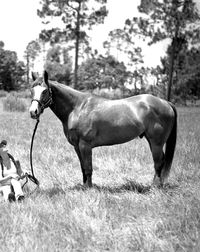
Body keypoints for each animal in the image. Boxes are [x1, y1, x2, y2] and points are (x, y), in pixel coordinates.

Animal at [28, 70, 177, 187]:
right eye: (32, 90)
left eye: (45, 91)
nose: (33, 112)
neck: (77, 108)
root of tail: (166, 103)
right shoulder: (77, 146)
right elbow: (83, 167)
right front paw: (84, 186)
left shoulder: (85, 145)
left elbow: (88, 168)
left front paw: (89, 188)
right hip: (152, 141)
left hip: (156, 142)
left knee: (159, 162)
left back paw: (155, 186)